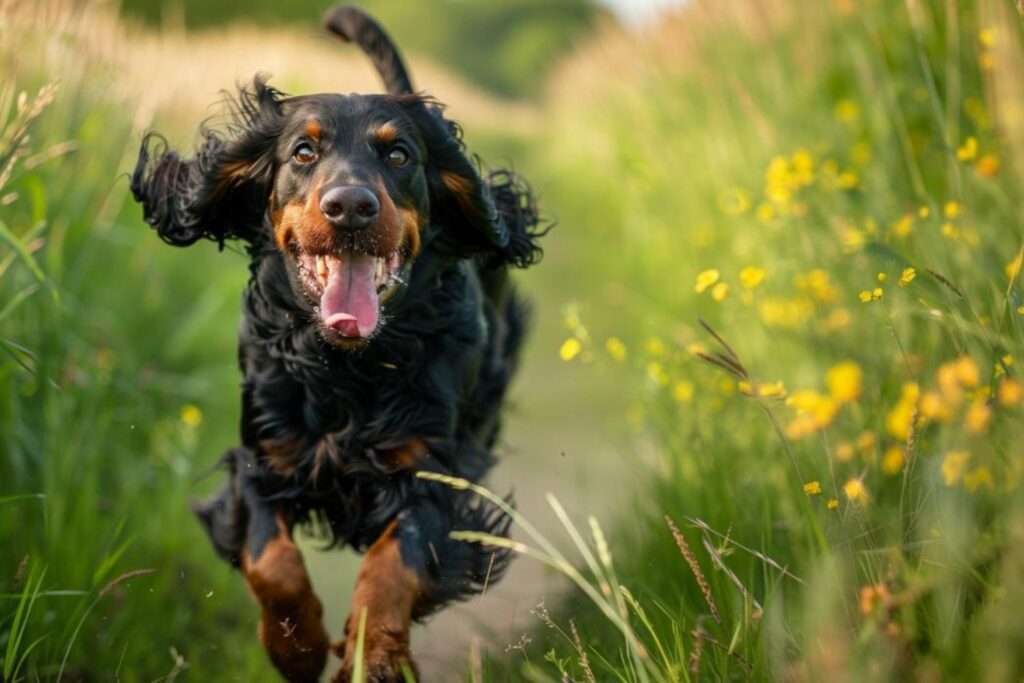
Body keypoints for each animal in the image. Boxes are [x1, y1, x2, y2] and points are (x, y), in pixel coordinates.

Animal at [132, 5, 548, 679]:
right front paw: (296, 645)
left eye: (400, 154)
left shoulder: (433, 468)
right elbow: (269, 559)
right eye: (304, 151)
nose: (350, 205)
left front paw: (373, 651)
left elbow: (395, 560)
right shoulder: (264, 458)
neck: (348, 366)